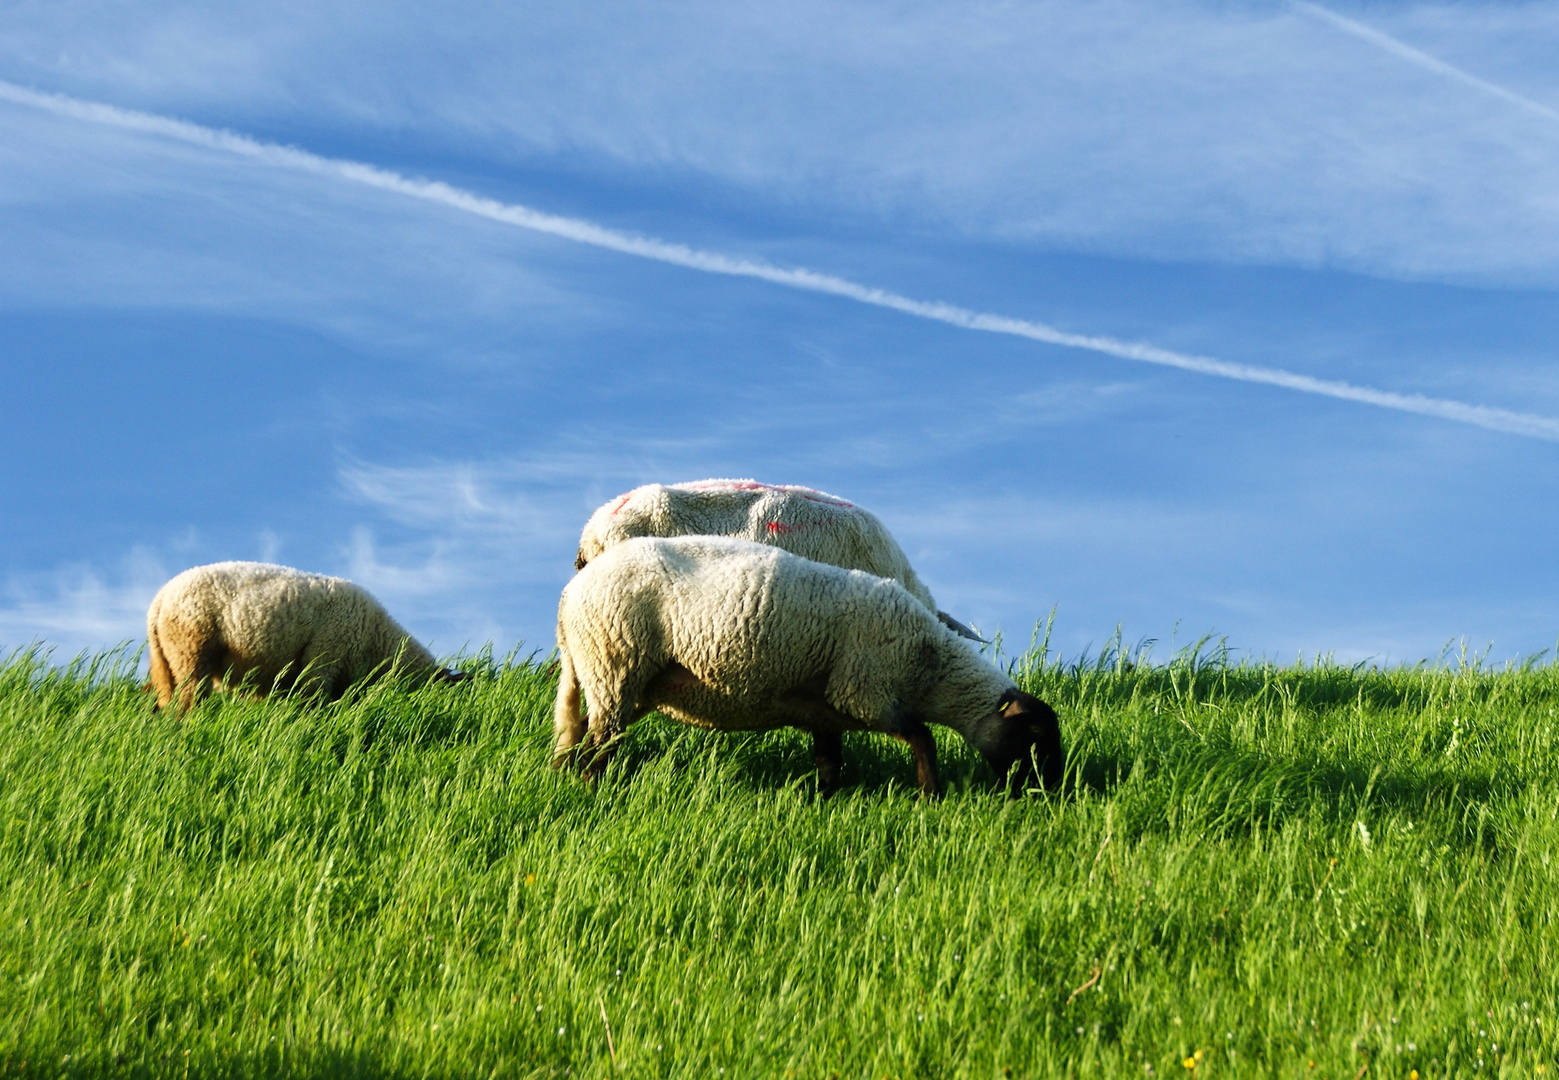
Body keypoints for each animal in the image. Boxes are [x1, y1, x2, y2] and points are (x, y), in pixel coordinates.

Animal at [144, 561, 461, 710]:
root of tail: (159, 600)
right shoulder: (323, 661)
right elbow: (313, 705)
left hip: (168, 660)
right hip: (191, 649)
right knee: (188, 702)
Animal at [548, 536, 1060, 794]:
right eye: (1034, 734)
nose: (1052, 790)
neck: (929, 667)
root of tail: (570, 594)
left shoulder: (826, 711)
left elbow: (830, 764)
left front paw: (826, 804)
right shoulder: (864, 691)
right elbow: (923, 736)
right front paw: (930, 795)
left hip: (611, 678)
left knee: (581, 734)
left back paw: (565, 779)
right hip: (616, 664)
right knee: (597, 746)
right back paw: (593, 792)